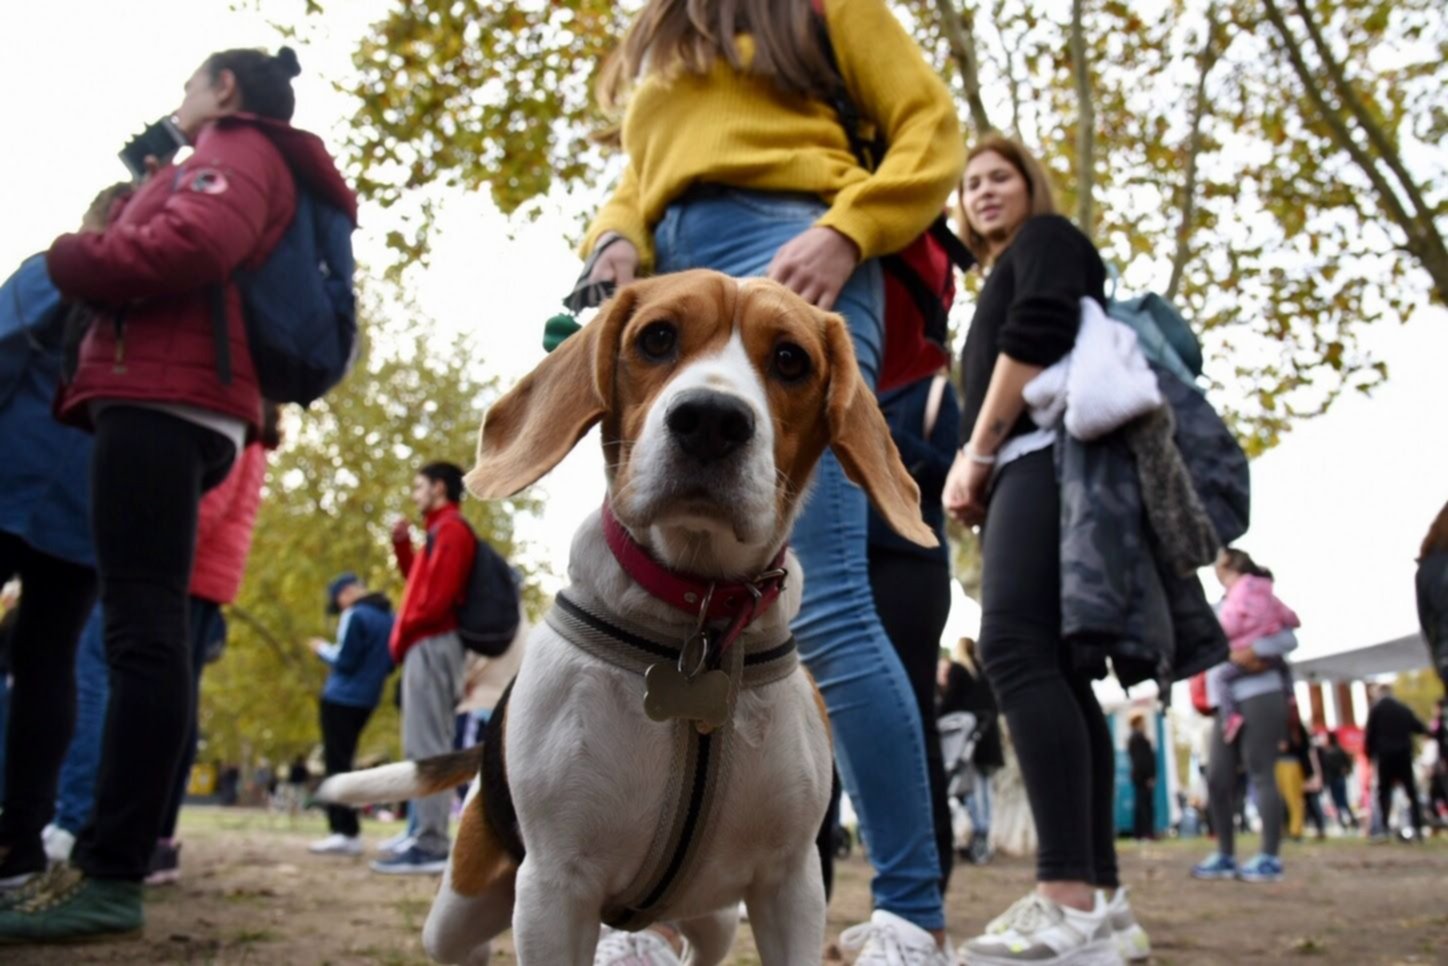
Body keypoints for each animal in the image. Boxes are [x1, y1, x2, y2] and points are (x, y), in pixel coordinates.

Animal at [321, 267, 932, 961]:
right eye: (657, 338)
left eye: (790, 359)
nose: (711, 420)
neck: (699, 617)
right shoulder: (555, 890)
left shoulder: (790, 885)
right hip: (460, 904)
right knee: (463, 941)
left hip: (715, 915)